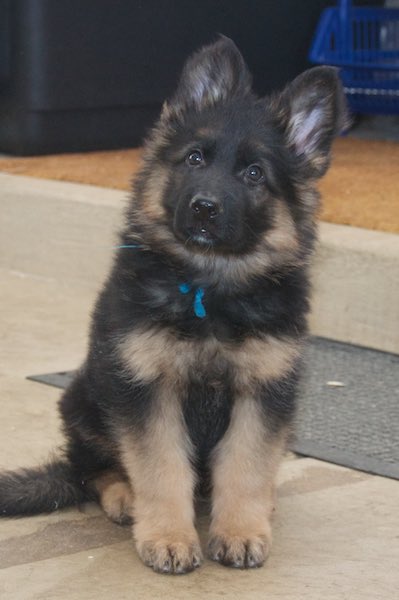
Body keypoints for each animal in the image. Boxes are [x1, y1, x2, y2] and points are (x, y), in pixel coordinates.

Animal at [0, 36, 346, 572]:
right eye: (194, 159)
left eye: (254, 174)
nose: (204, 207)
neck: (208, 288)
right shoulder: (146, 390)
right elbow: (161, 469)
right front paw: (168, 537)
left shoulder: (262, 392)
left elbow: (246, 466)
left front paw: (241, 530)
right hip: (86, 398)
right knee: (91, 468)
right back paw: (123, 495)